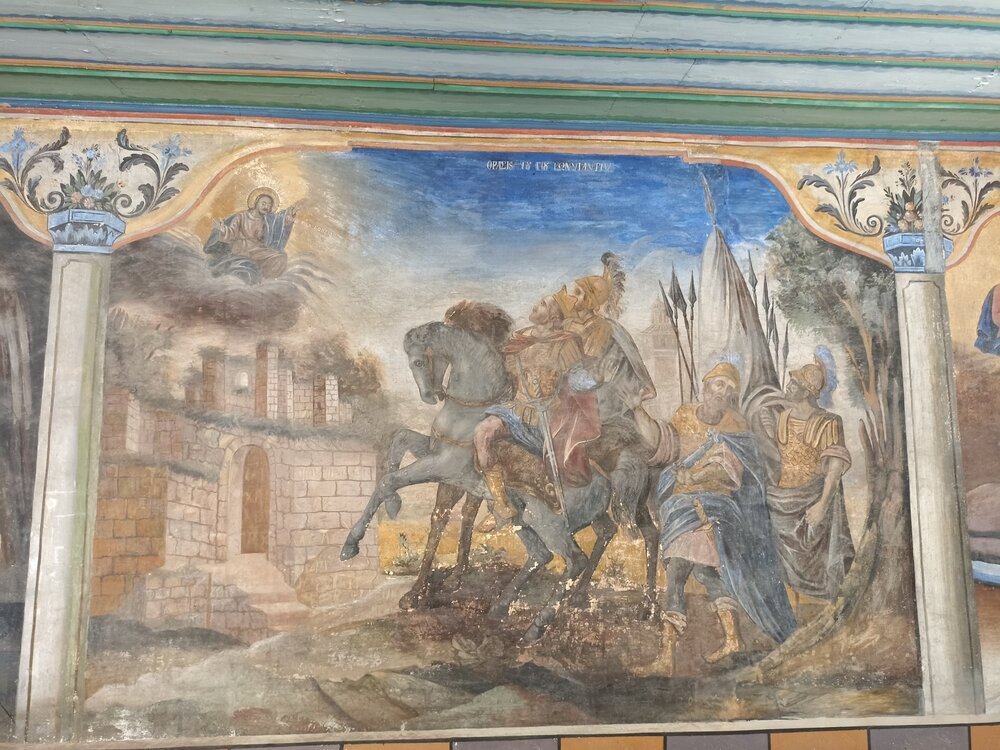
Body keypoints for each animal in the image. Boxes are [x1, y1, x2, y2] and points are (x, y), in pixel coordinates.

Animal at [341, 318, 659, 639]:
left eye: (418, 361)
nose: (430, 396)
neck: (469, 411)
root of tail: (608, 472)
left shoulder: (443, 465)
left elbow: (389, 480)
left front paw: (351, 545)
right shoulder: (434, 452)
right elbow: (399, 440)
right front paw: (393, 506)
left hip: (548, 522)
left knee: (575, 559)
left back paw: (539, 624)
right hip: (527, 518)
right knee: (553, 551)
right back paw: (508, 605)